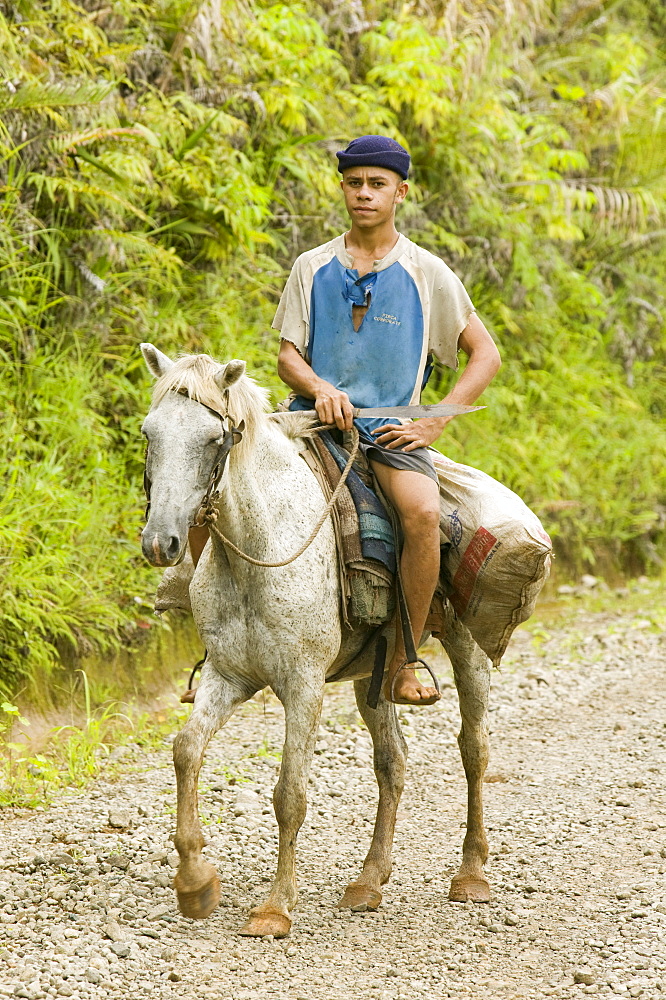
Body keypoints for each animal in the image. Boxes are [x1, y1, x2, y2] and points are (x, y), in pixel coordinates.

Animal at [140, 344, 490, 936]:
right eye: (149, 432)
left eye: (213, 439)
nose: (160, 542)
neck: (259, 550)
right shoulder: (228, 677)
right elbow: (186, 751)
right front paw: (194, 883)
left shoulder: (303, 686)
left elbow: (289, 794)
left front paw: (275, 907)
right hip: (374, 676)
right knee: (392, 763)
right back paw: (368, 882)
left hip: (470, 651)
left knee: (473, 749)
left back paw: (471, 874)